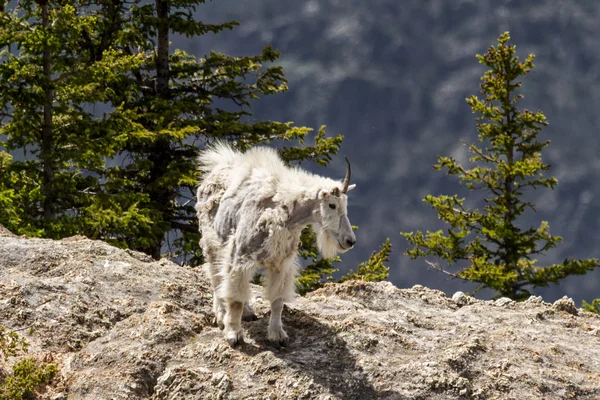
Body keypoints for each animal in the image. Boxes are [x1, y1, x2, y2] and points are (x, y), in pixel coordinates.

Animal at [197, 142, 356, 346]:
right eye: (332, 205)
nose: (349, 241)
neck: (285, 212)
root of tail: (216, 167)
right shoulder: (240, 256)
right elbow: (236, 300)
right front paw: (234, 335)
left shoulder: (281, 263)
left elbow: (278, 300)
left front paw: (277, 335)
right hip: (212, 241)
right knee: (216, 276)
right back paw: (220, 314)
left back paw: (247, 312)